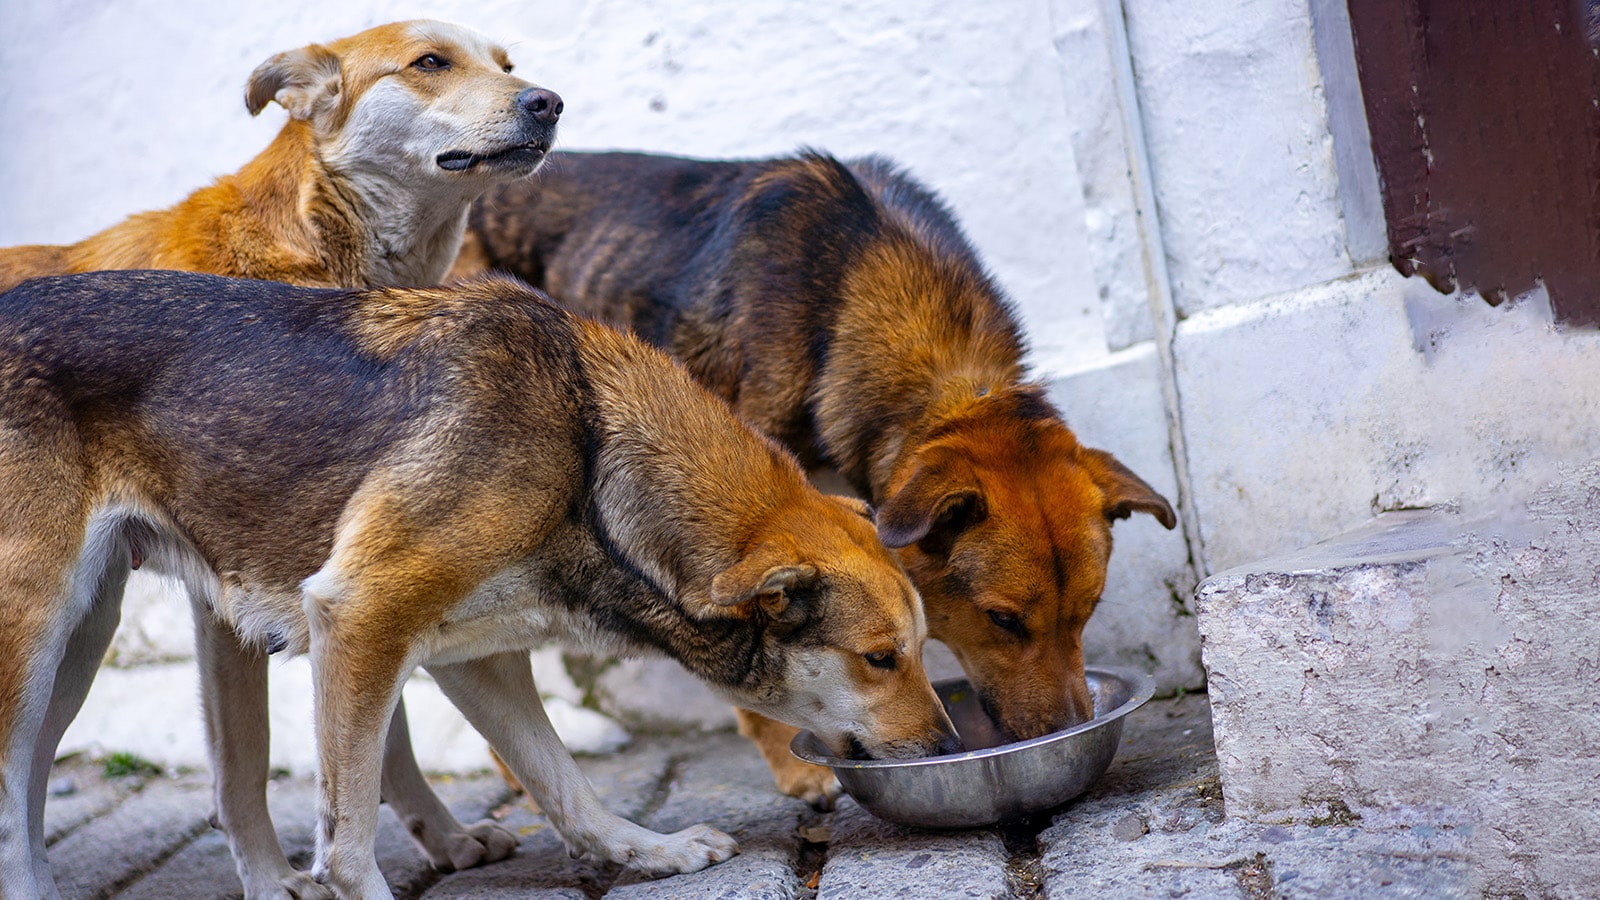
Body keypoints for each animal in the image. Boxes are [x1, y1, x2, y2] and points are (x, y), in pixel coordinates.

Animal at [0, 21, 569, 896]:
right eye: (430, 63)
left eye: (508, 65)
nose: (549, 101)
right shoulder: (226, 601)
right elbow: (247, 761)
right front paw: (272, 879)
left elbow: (386, 730)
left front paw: (441, 836)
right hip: (40, 614)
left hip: (81, 628)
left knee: (26, 775)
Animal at [0, 267, 960, 896]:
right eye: (881, 659)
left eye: (922, 649)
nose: (949, 749)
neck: (587, 448)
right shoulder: (361, 617)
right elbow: (349, 846)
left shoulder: (472, 658)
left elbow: (562, 779)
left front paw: (645, 852)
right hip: (35, 638)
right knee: (13, 804)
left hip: (79, 647)